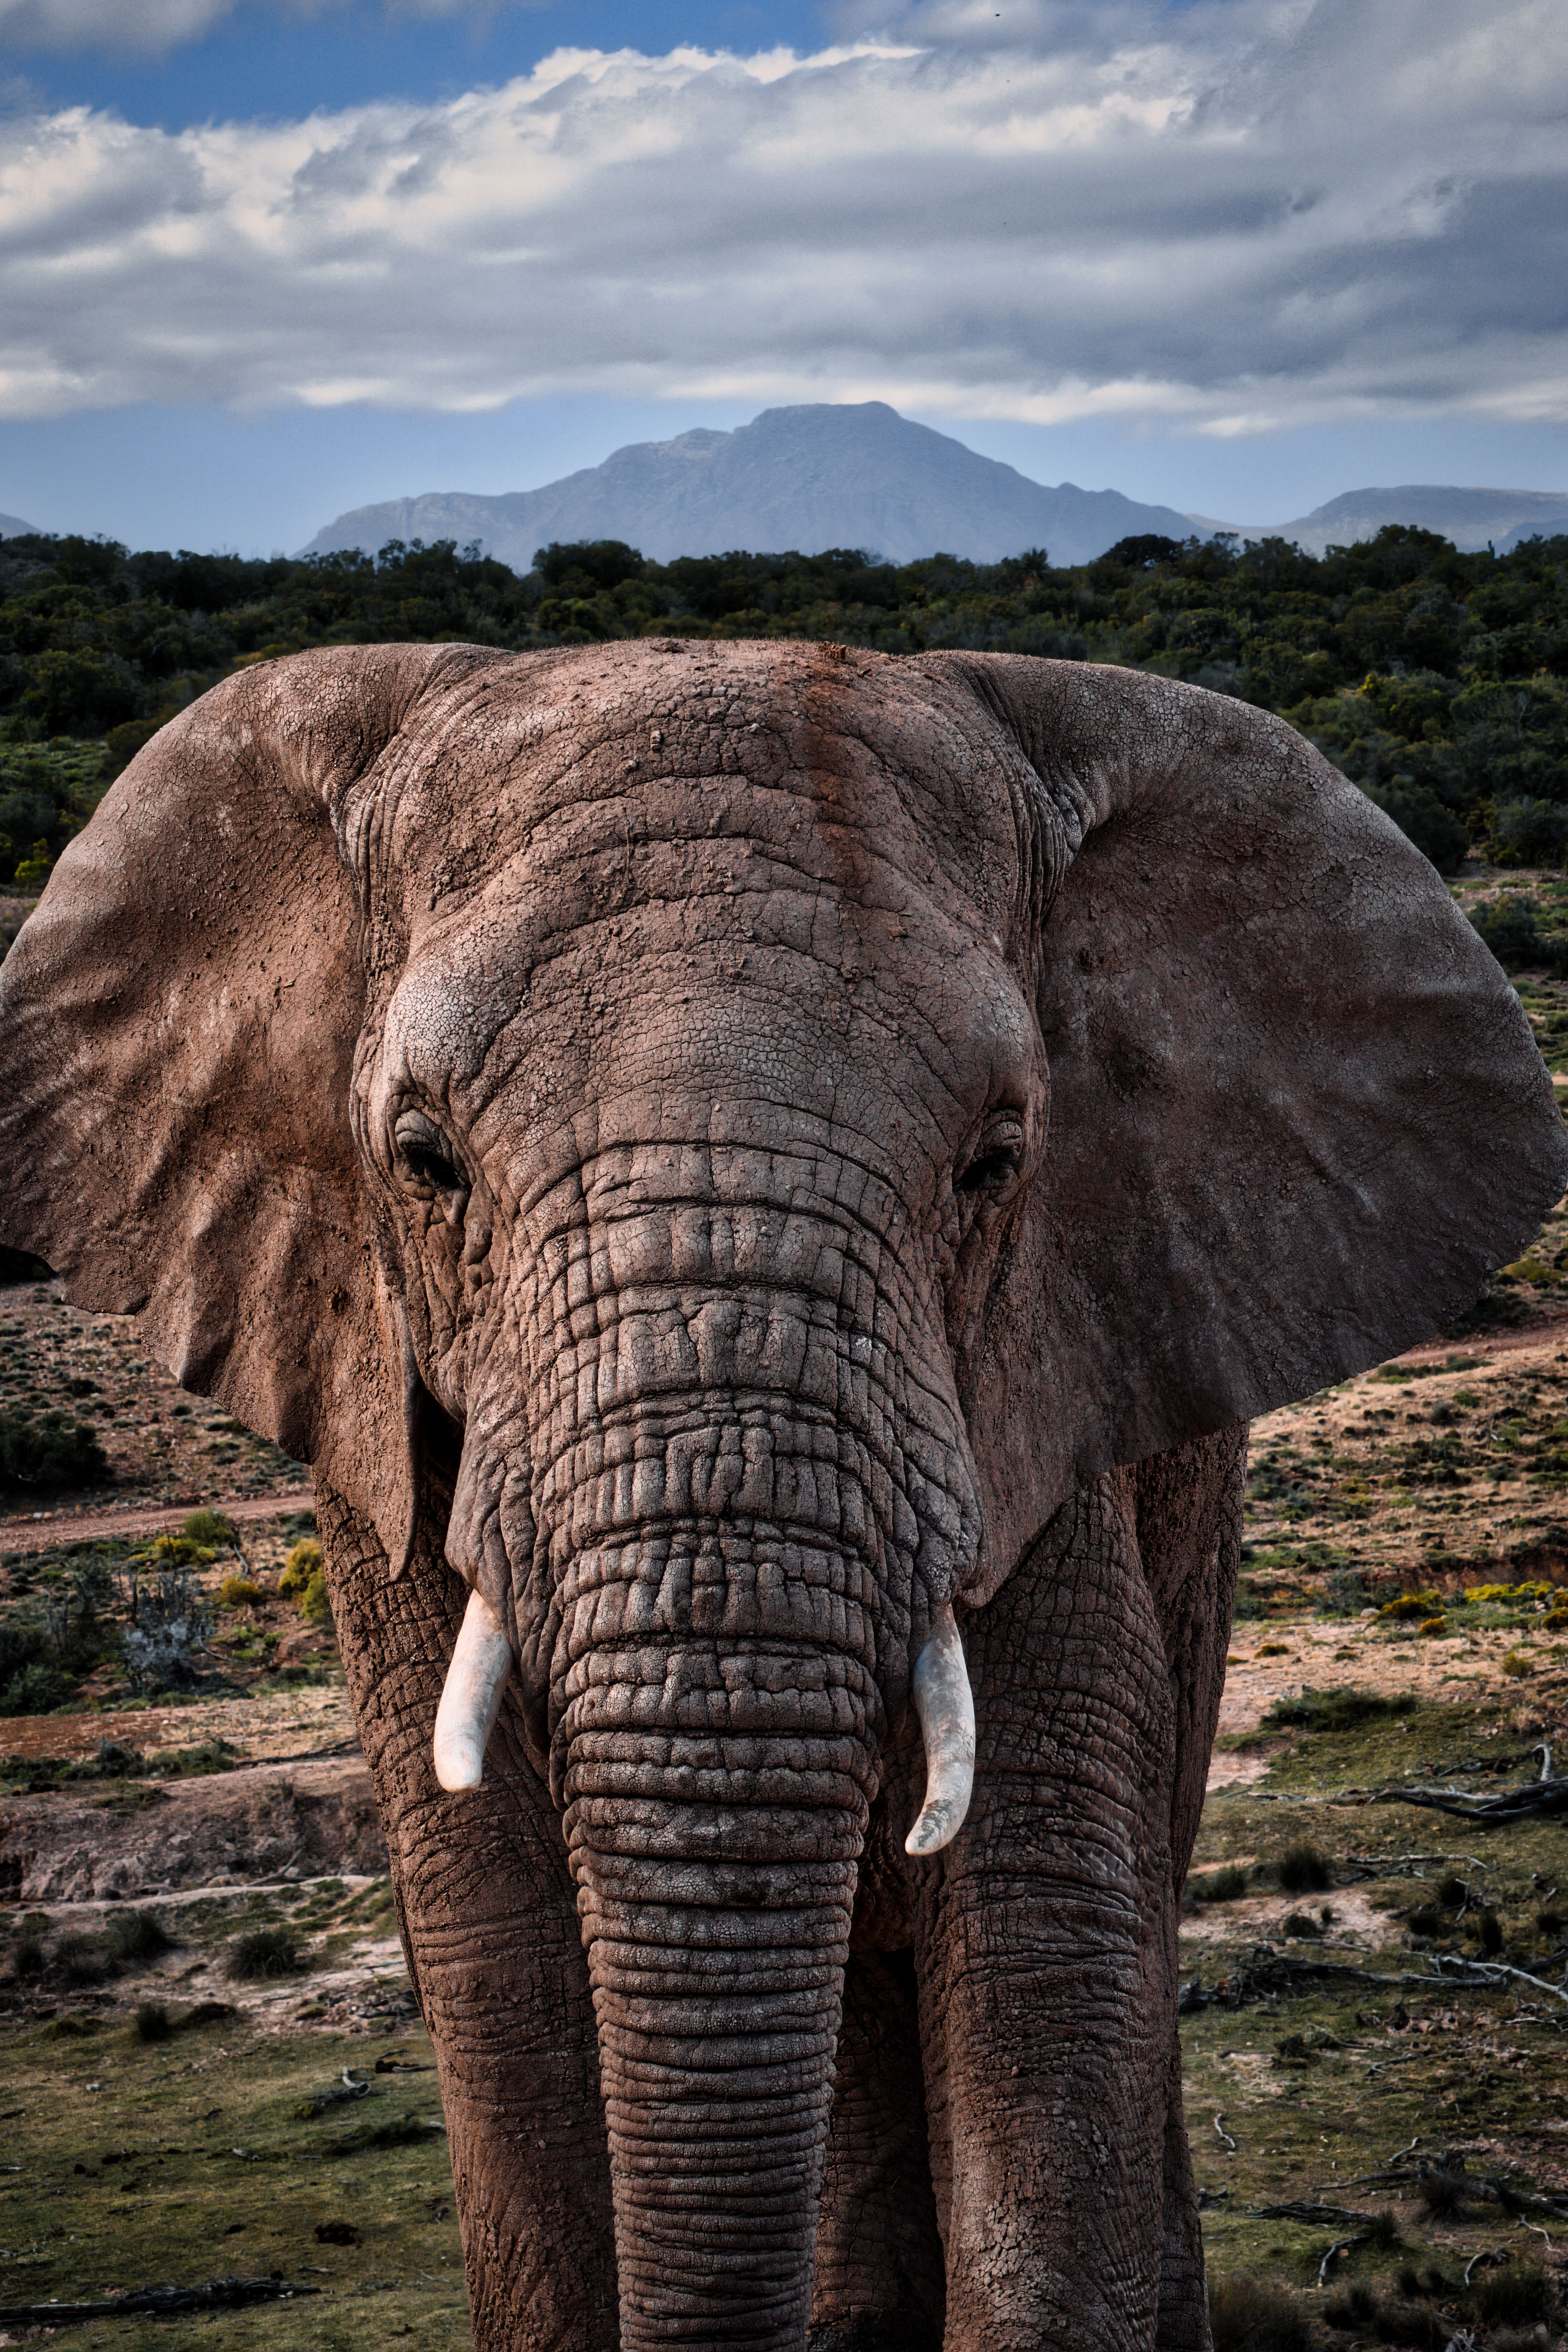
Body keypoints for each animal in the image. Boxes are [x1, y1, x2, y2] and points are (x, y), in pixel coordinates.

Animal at [1, 639, 1562, 2352]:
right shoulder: (377, 1428)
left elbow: (1046, 1940)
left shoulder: (1047, 1390)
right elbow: (498, 1968)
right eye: (424, 1160)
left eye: (993, 1162)